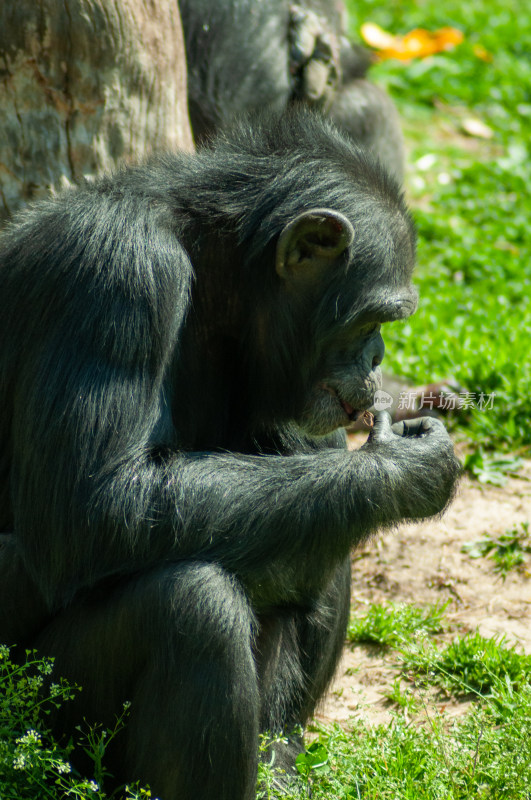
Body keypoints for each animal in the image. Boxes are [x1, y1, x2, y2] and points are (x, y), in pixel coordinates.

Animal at [0, 108, 462, 800]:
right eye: (373, 319)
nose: (378, 357)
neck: (212, 266)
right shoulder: (113, 271)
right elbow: (92, 504)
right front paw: (403, 470)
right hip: (36, 719)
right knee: (192, 609)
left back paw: (279, 766)